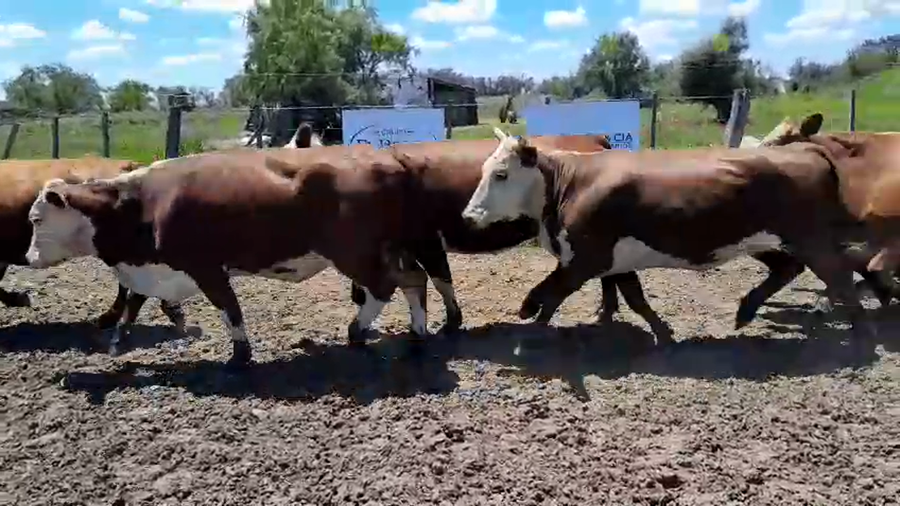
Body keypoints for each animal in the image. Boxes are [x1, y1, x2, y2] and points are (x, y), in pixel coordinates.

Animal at [25, 147, 434, 367]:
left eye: (36, 219)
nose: (28, 258)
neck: (143, 204)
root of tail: (388, 158)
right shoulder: (152, 268)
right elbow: (135, 305)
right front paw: (120, 340)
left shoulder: (206, 268)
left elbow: (229, 310)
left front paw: (239, 354)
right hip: (389, 250)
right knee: (415, 279)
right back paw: (417, 334)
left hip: (354, 254)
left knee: (385, 287)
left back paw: (358, 331)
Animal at [461, 127, 877, 351]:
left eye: (501, 174)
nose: (468, 216)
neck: (569, 183)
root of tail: (807, 148)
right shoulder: (613, 259)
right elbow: (633, 296)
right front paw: (663, 333)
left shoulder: (587, 257)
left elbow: (550, 292)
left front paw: (530, 322)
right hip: (763, 241)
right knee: (789, 269)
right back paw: (745, 311)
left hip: (811, 240)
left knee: (840, 277)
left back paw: (861, 333)